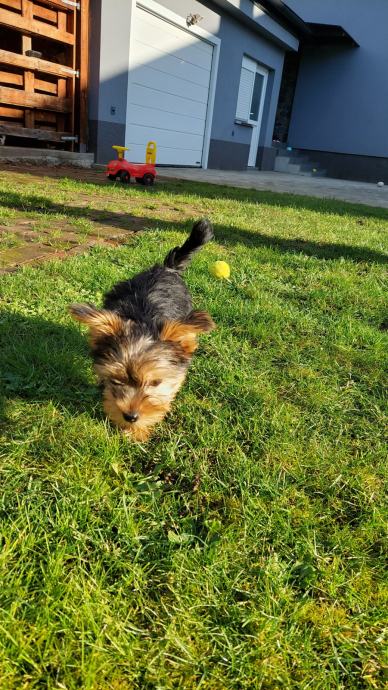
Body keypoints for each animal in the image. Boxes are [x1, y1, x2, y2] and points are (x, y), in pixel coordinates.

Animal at [69, 219, 215, 440]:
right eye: (116, 380)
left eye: (155, 383)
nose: (130, 416)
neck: (143, 320)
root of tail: (166, 268)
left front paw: (137, 431)